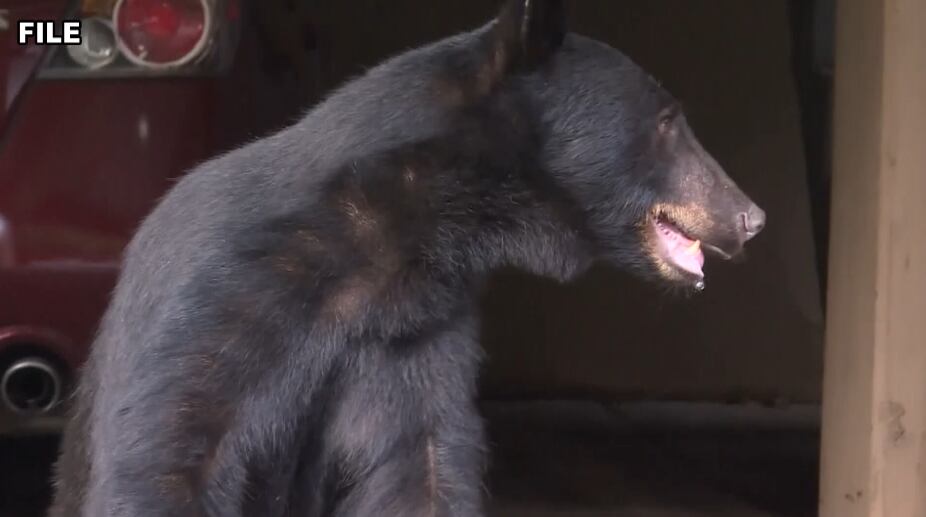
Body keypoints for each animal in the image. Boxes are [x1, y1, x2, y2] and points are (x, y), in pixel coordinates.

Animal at [48, 1, 765, 516]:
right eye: (668, 121)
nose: (751, 216)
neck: (387, 232)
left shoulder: (413, 330)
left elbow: (417, 458)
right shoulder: (222, 299)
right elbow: (172, 454)